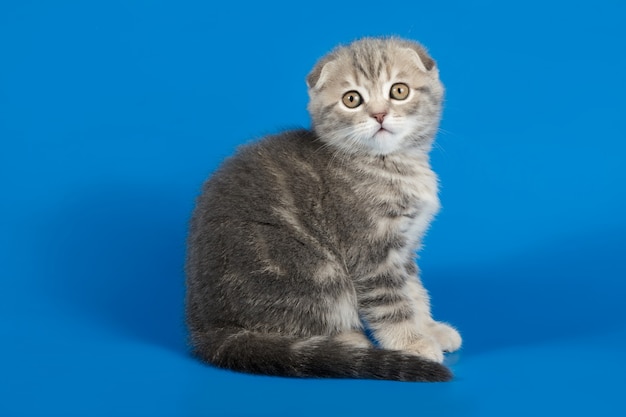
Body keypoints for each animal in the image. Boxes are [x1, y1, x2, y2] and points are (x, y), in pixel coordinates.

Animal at [184, 36, 458, 380]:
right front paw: (412, 343)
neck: (391, 165)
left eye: (399, 90)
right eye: (352, 99)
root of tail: (211, 329)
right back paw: (347, 343)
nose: (379, 115)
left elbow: (415, 292)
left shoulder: (405, 247)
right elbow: (392, 304)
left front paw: (430, 329)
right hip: (315, 270)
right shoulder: (368, 252)